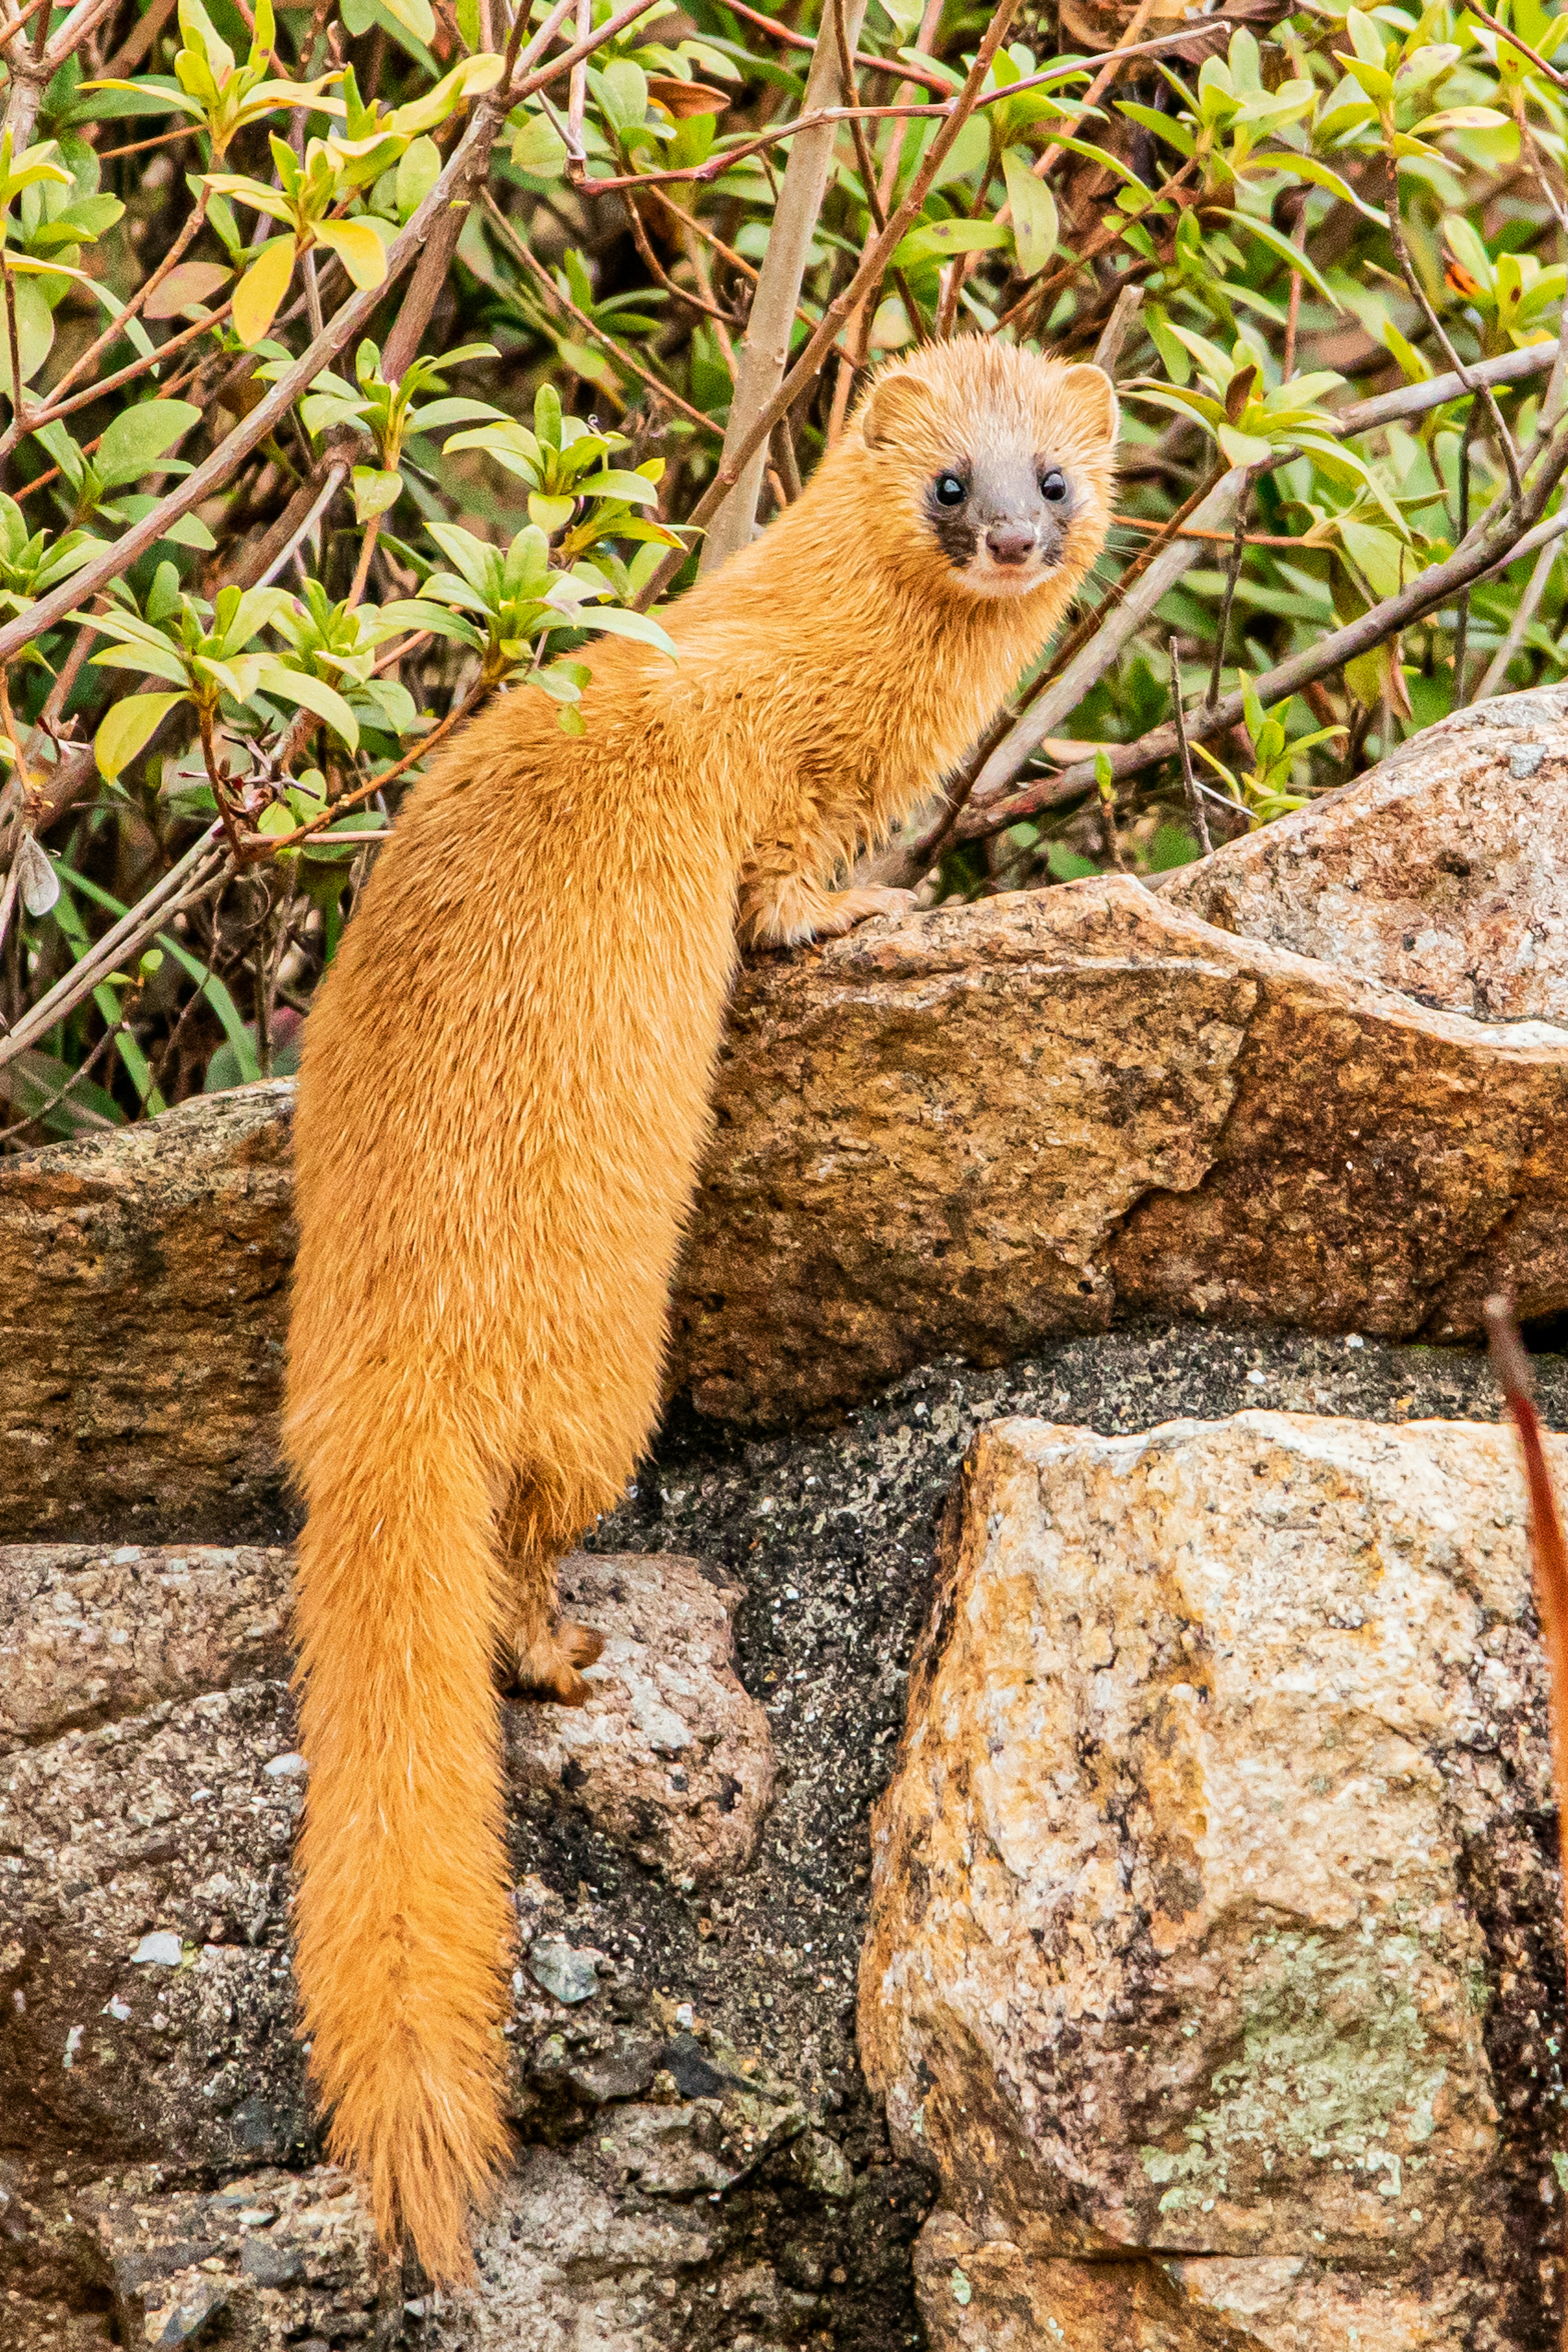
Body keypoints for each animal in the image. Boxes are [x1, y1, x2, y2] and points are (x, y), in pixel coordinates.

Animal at [282, 336, 1114, 2276]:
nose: (1011, 538)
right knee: (527, 1532)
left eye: (1052, 471)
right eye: (950, 480)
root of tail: (382, 1378)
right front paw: (866, 909)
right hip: (600, 1369)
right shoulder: (788, 787)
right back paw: (564, 1650)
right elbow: (790, 879)